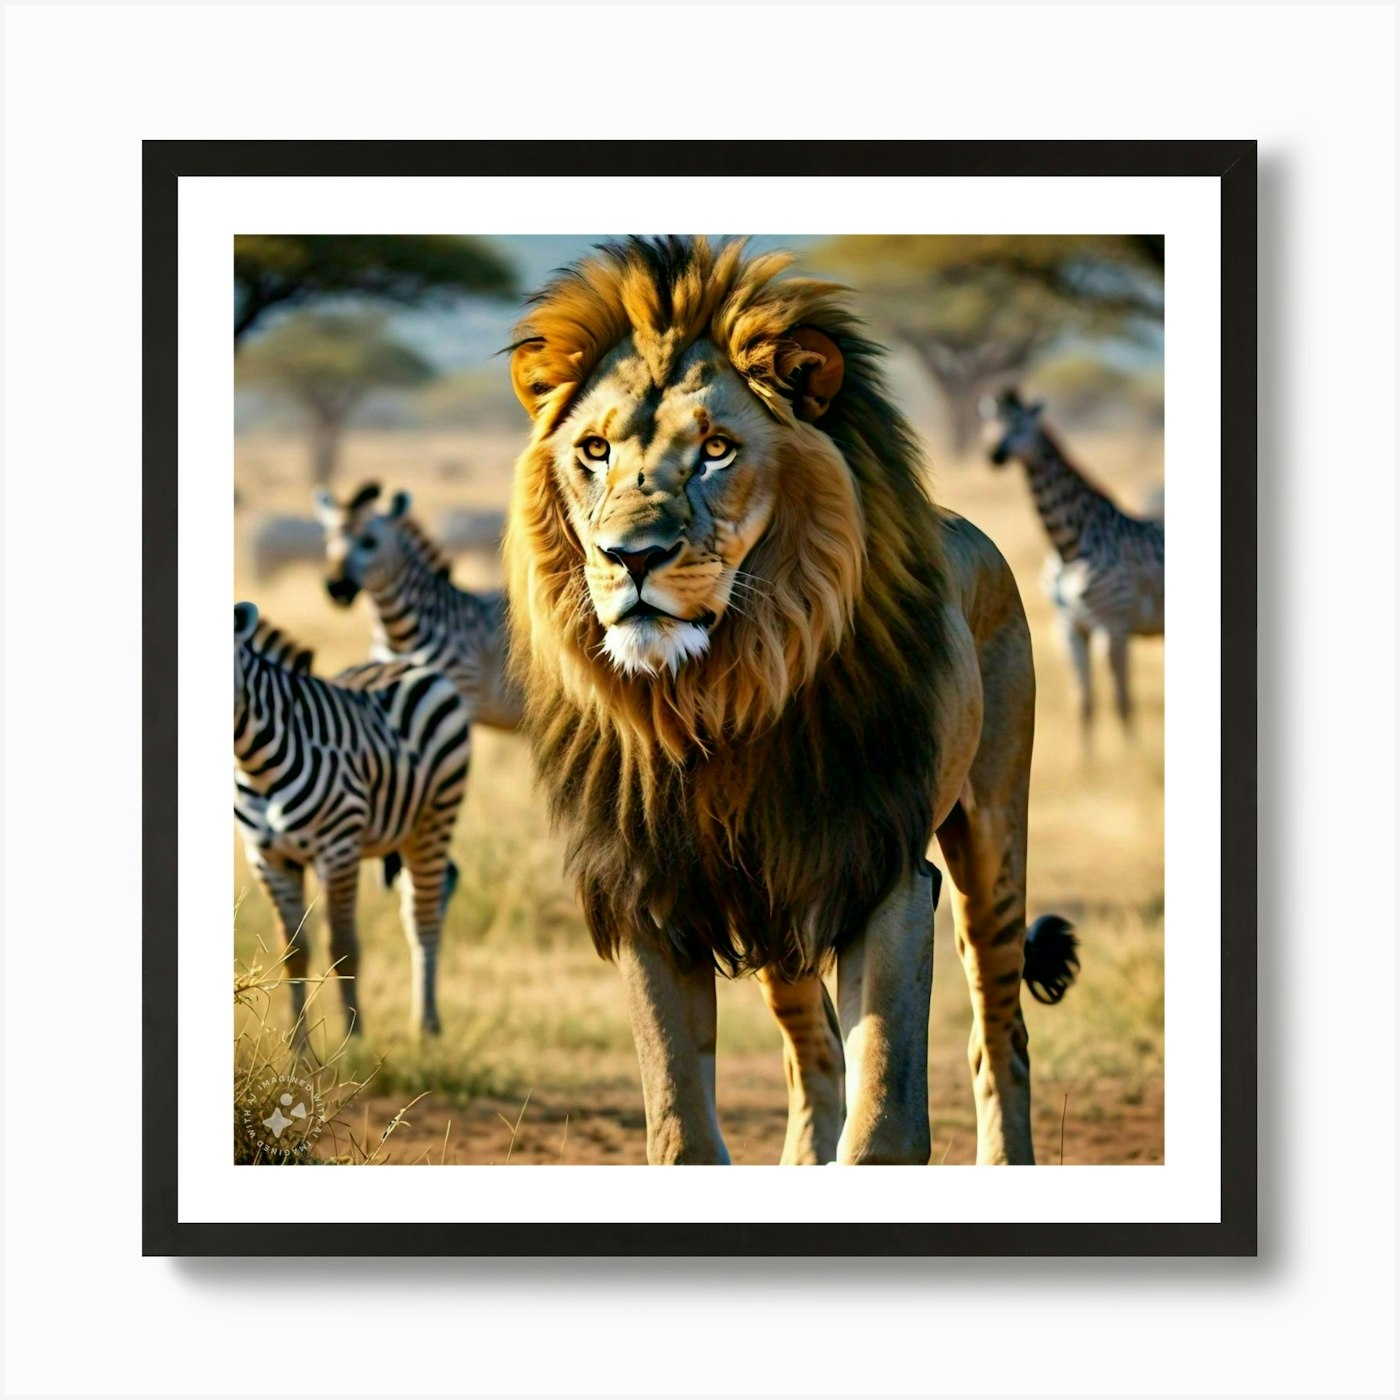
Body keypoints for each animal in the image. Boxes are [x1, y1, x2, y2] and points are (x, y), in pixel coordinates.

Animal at [234, 602, 470, 1042]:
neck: (257, 764)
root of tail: (399, 663)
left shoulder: (339, 848)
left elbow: (341, 947)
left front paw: (352, 1040)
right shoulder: (267, 857)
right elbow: (294, 953)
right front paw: (298, 1047)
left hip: (434, 818)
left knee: (424, 916)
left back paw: (426, 1026)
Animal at [505, 237, 1078, 1165]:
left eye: (716, 450)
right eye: (593, 451)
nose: (631, 555)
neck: (721, 698)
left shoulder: (882, 870)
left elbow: (884, 1121)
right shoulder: (650, 896)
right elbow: (683, 1127)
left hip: (990, 839)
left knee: (1000, 1030)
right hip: (776, 906)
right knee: (814, 1053)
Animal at [985, 388, 1165, 738]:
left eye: (1021, 424)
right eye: (991, 423)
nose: (995, 456)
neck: (1070, 545)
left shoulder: (1113, 625)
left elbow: (1122, 702)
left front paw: (1131, 750)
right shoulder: (1069, 627)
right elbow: (1084, 703)